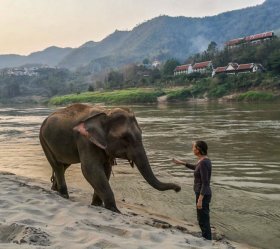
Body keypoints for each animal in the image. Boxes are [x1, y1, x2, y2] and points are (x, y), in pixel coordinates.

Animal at [39, 103, 180, 212]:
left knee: (63, 165)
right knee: (57, 166)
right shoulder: (85, 140)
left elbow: (105, 169)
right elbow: (90, 169)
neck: (106, 113)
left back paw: (55, 190)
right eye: (125, 138)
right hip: (44, 140)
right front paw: (115, 210)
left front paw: (97, 205)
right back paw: (64, 195)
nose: (178, 189)